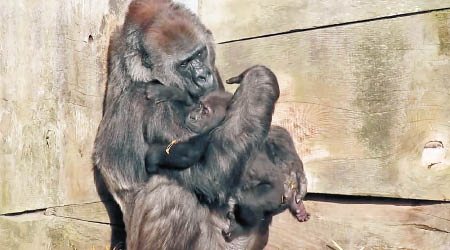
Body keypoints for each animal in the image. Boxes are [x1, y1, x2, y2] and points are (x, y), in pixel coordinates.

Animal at [146, 71, 308, 240]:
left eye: (205, 111)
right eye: (200, 106)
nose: (192, 117)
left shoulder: (211, 134)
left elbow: (192, 158)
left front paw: (154, 155)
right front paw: (168, 92)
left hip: (274, 194)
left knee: (248, 202)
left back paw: (240, 227)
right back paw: (297, 205)